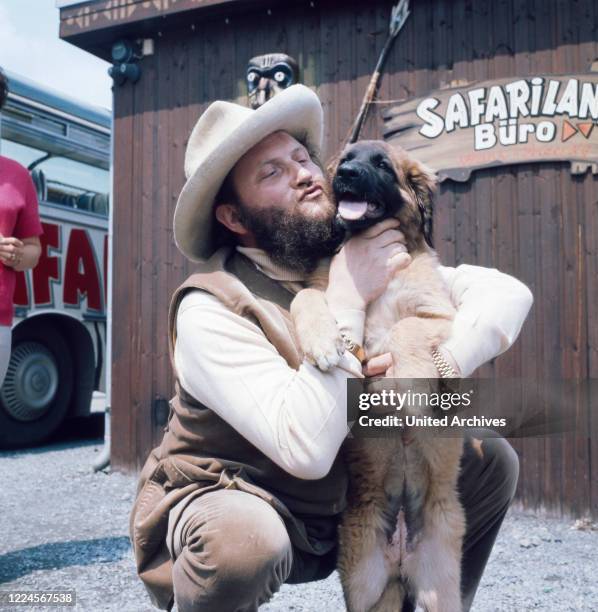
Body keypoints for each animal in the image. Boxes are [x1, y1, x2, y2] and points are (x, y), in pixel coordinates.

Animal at [292, 141, 466, 612]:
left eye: (383, 165)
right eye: (348, 157)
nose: (346, 175)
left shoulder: (438, 315)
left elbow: (404, 330)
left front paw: (414, 392)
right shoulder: (325, 291)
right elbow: (306, 296)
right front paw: (322, 341)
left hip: (442, 588)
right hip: (366, 583)